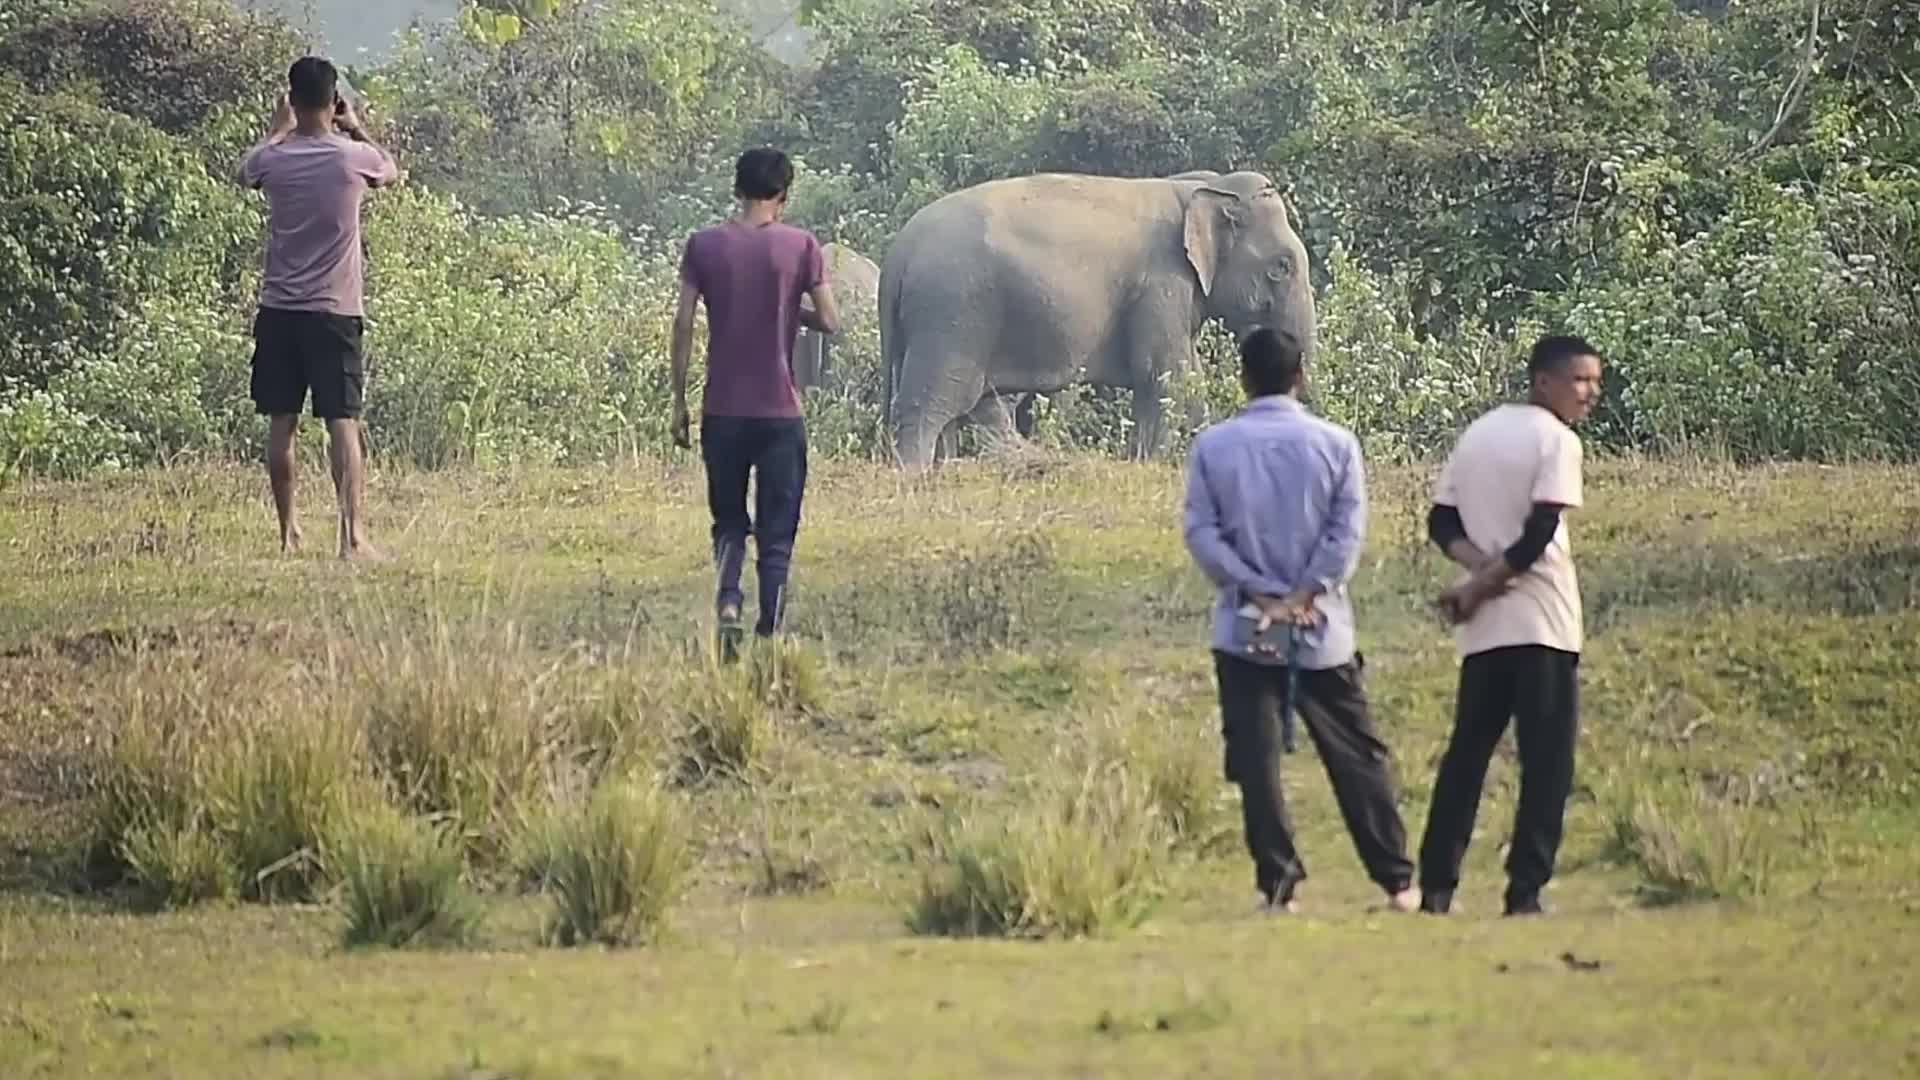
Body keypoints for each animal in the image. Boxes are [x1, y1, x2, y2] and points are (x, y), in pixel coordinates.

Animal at [879, 169, 1317, 467]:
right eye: (1281, 267)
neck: (1196, 188)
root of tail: (898, 252)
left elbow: (1178, 379)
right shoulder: (1160, 285)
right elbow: (1166, 377)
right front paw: (1157, 463)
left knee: (977, 405)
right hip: (952, 315)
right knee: (932, 404)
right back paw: (916, 476)